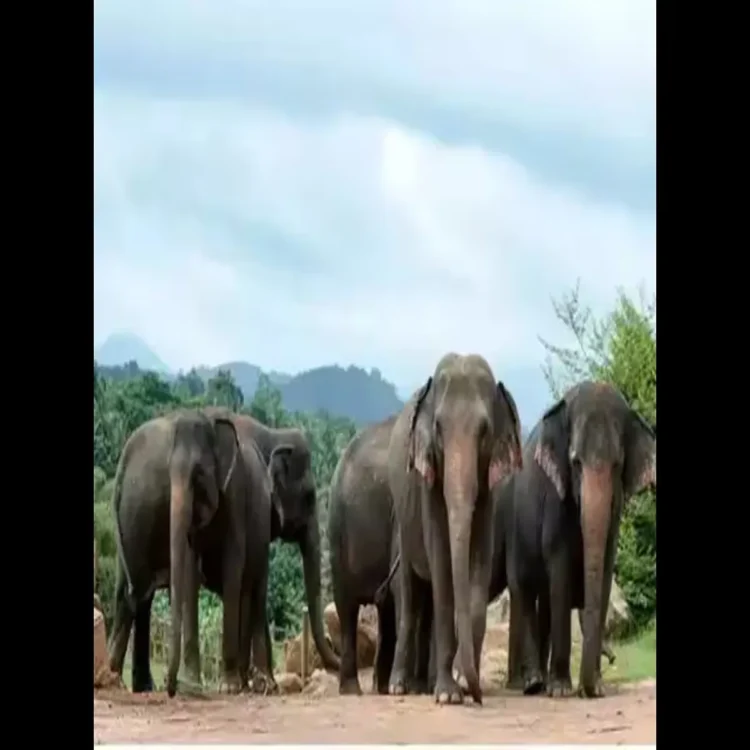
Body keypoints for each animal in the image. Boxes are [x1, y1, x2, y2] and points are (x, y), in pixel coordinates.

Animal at [386, 353, 523, 706]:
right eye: (437, 427)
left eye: (485, 430)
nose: (477, 695)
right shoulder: (427, 484)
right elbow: (441, 560)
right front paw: (449, 695)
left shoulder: (489, 491)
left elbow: (478, 562)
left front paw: (461, 683)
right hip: (402, 528)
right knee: (410, 600)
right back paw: (398, 687)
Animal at [500, 381, 655, 699]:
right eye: (576, 462)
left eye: (617, 464)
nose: (590, 690)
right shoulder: (554, 499)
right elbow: (559, 571)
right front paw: (561, 690)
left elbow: (605, 569)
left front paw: (595, 687)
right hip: (513, 525)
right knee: (524, 589)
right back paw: (534, 684)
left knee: (542, 599)